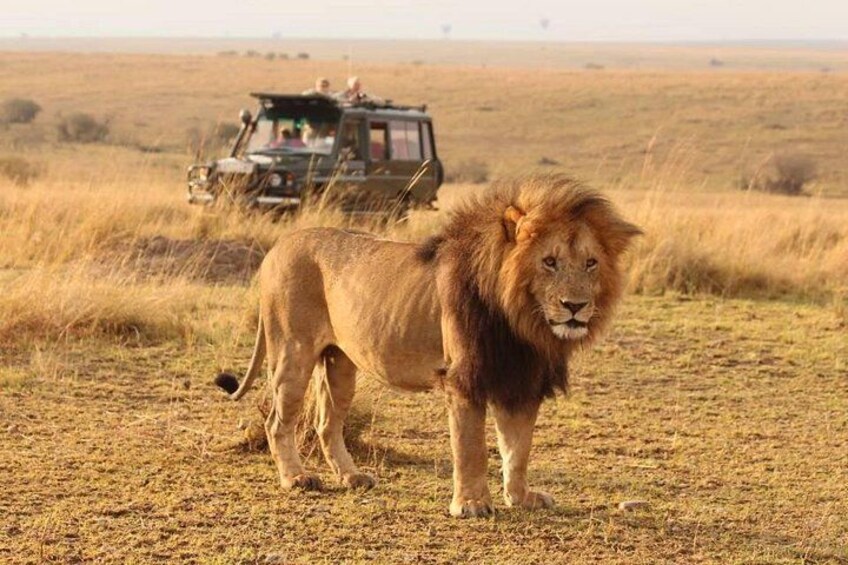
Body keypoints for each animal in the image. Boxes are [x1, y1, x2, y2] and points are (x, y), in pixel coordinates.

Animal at [215, 174, 641, 517]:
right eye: (550, 262)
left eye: (590, 263)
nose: (575, 306)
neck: (523, 323)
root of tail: (279, 245)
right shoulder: (464, 378)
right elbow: (471, 447)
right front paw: (471, 504)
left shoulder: (520, 380)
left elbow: (518, 449)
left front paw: (521, 498)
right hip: (293, 350)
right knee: (277, 420)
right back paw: (296, 478)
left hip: (340, 362)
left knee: (325, 422)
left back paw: (352, 477)